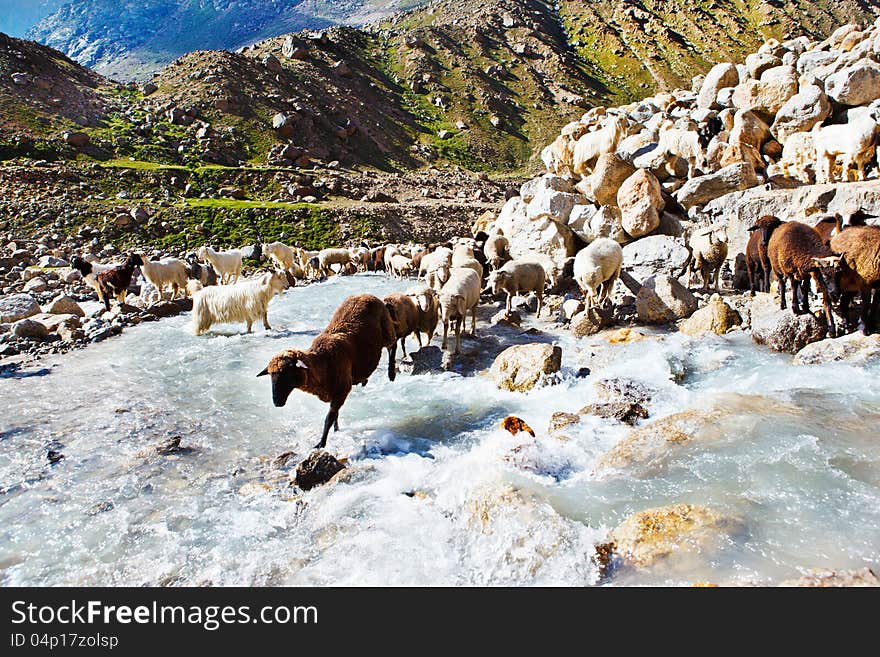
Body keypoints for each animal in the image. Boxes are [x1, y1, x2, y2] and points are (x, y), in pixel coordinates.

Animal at [256, 294, 398, 448]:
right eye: (271, 375)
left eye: (288, 372)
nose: (276, 401)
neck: (323, 362)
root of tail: (368, 295)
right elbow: (335, 415)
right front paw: (336, 430)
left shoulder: (341, 392)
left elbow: (329, 418)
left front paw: (322, 442)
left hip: (386, 330)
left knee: (393, 344)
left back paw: (391, 373)